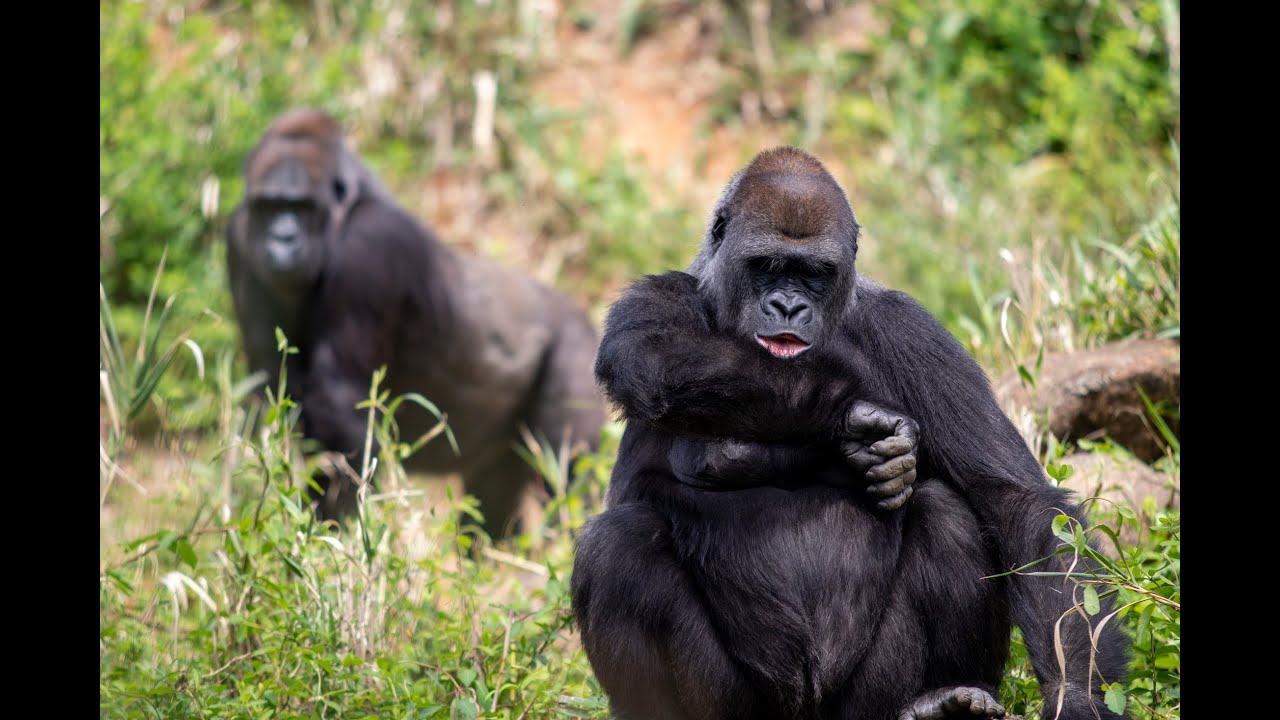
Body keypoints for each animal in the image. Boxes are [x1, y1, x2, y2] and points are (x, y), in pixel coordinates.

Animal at [573, 147, 1131, 717]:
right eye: (766, 266)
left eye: (815, 274)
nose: (788, 307)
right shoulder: (654, 297)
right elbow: (656, 357)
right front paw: (848, 421)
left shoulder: (912, 329)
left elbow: (1018, 502)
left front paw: (1079, 696)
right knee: (617, 547)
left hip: (865, 703)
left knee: (945, 511)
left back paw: (944, 697)